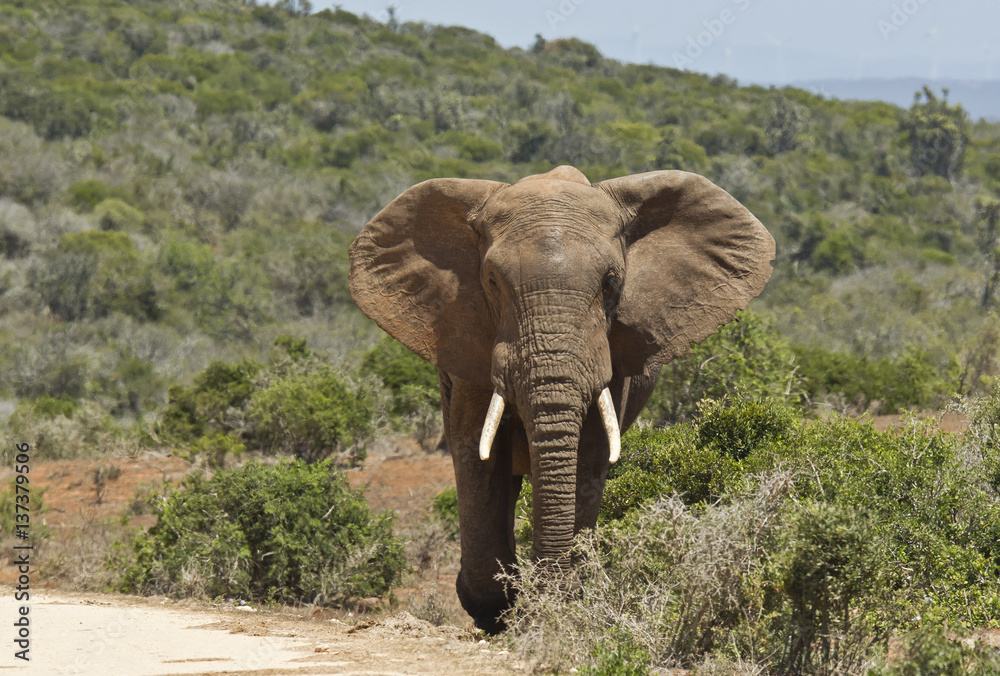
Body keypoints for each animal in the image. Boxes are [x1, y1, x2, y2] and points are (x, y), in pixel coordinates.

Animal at [348, 165, 774, 632]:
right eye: (492, 282)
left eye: (611, 283)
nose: (546, 593)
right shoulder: (468, 342)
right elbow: (476, 453)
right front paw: (495, 607)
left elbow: (589, 454)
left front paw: (558, 604)